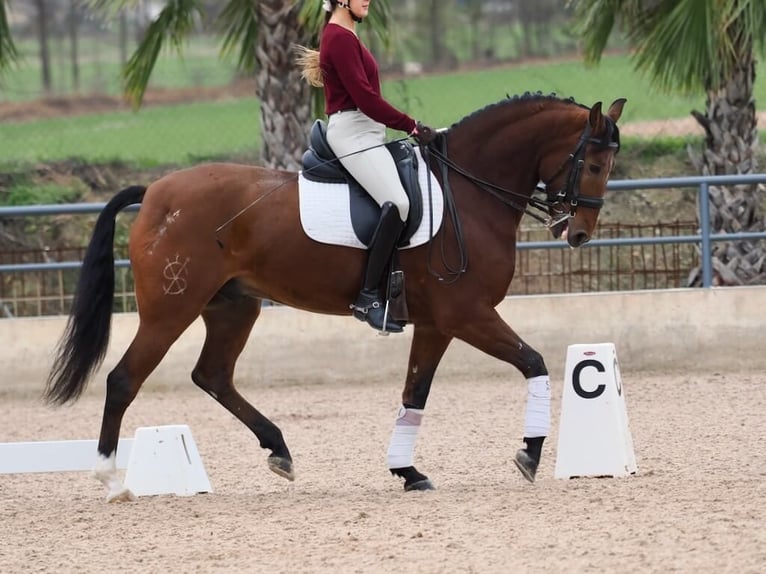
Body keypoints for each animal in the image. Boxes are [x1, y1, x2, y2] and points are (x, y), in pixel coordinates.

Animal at [45, 92, 628, 502]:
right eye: (595, 165)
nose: (579, 234)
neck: (468, 193)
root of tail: (156, 194)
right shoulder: (467, 314)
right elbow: (533, 362)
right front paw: (529, 455)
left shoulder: (437, 323)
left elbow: (414, 395)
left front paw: (407, 471)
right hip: (172, 308)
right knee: (124, 379)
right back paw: (111, 481)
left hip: (233, 306)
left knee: (212, 375)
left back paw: (279, 450)